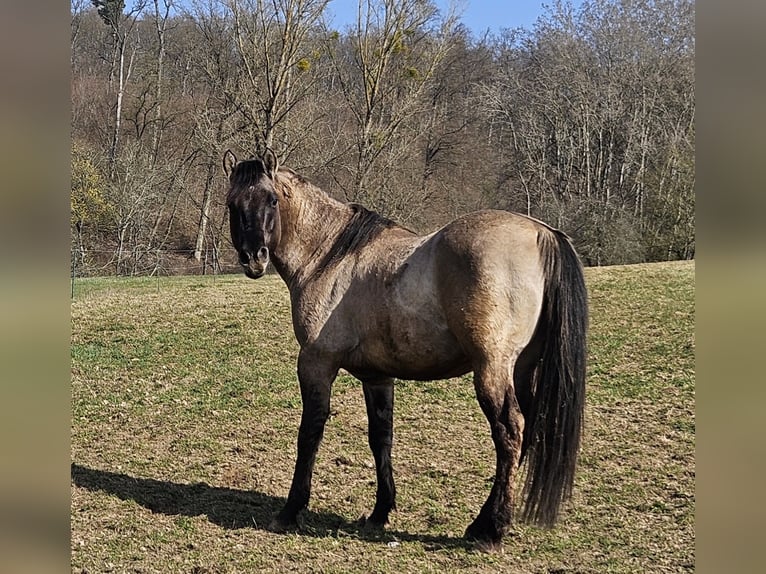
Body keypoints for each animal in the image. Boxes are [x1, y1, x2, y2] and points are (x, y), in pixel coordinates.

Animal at [222, 148, 588, 548]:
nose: (253, 257)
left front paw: (290, 510)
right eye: (232, 204)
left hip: (493, 370)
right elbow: (381, 437)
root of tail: (541, 232)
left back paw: (490, 528)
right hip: (522, 369)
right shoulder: (377, 377)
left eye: (272, 199)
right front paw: (380, 511)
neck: (328, 258)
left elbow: (310, 434)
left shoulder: (316, 365)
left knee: (509, 433)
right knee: (524, 433)